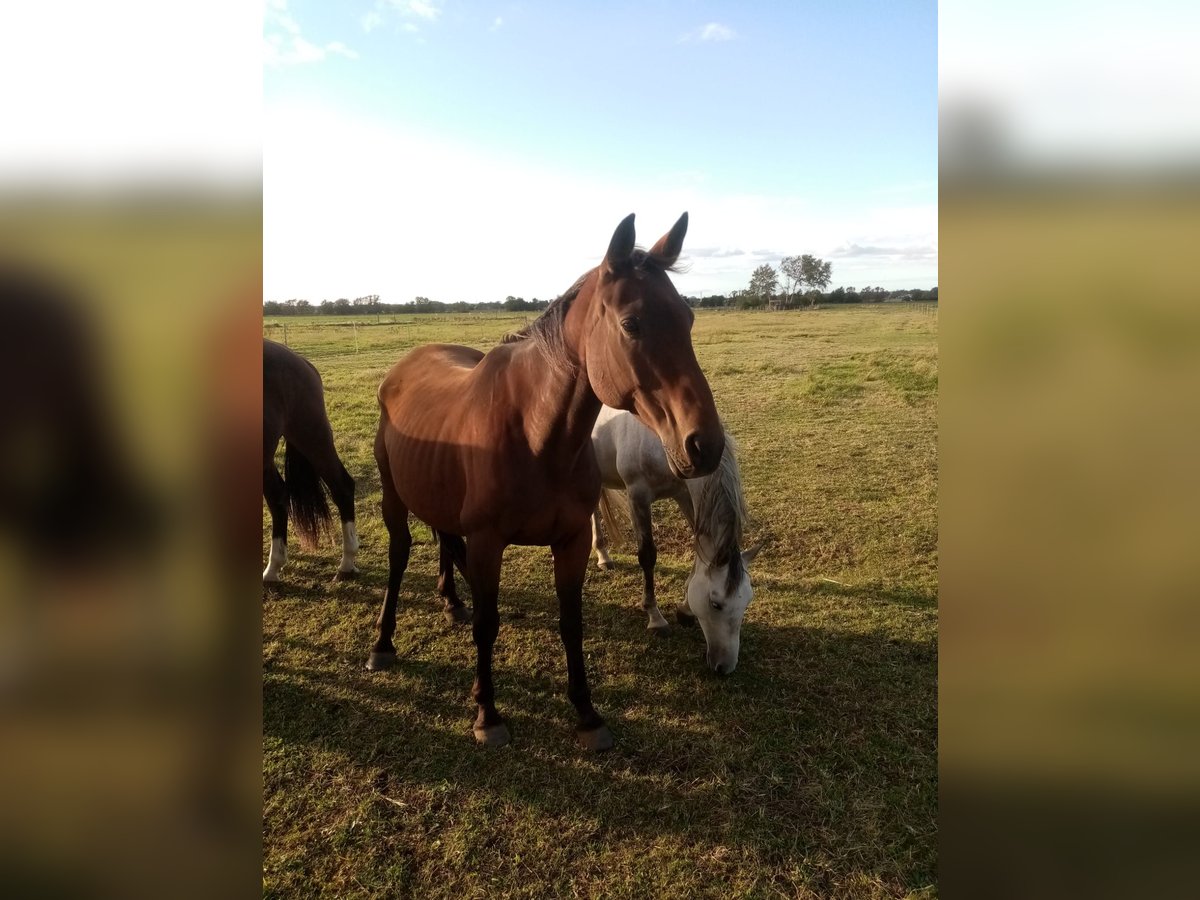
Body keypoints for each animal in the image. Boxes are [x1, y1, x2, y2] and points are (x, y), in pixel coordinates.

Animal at [262, 340, 355, 585]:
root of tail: (301, 361)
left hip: (311, 435)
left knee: (342, 487)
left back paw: (347, 563)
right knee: (278, 497)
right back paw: (273, 569)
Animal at [367, 213, 720, 753]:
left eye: (688, 318)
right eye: (632, 323)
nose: (705, 445)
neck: (535, 435)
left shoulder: (570, 541)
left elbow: (571, 623)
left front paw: (587, 715)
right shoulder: (488, 542)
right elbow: (488, 625)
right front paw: (488, 714)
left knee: (445, 540)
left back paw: (452, 603)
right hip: (392, 497)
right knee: (400, 555)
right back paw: (384, 643)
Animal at [588, 405, 758, 672]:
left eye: (747, 601)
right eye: (716, 604)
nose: (725, 667)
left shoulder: (684, 494)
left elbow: (698, 549)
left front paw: (686, 610)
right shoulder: (638, 496)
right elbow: (647, 556)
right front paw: (655, 618)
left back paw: (603, 555)